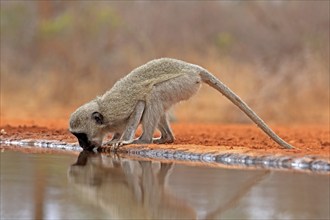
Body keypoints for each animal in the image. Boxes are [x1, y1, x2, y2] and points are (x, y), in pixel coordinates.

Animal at [69, 57, 294, 150]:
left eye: (81, 136)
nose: (82, 145)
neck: (103, 114)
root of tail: (193, 68)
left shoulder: (117, 111)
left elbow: (140, 105)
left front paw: (121, 140)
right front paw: (113, 139)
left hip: (184, 83)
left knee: (154, 94)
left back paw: (144, 140)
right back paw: (166, 138)